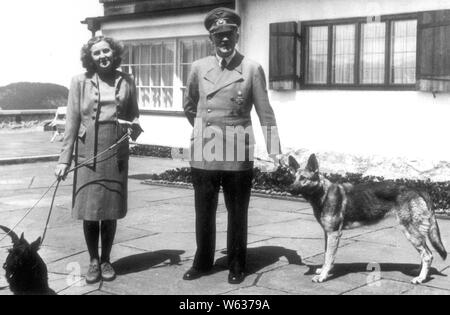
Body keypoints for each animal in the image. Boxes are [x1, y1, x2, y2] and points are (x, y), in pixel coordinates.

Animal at [288, 154, 446, 286]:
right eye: (294, 178)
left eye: (303, 178)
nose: (289, 189)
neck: (323, 193)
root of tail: (417, 189)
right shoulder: (328, 234)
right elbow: (327, 254)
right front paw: (323, 271)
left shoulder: (333, 234)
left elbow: (329, 257)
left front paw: (323, 276)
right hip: (416, 234)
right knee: (425, 253)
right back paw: (419, 272)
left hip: (410, 232)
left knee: (428, 255)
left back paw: (421, 278)